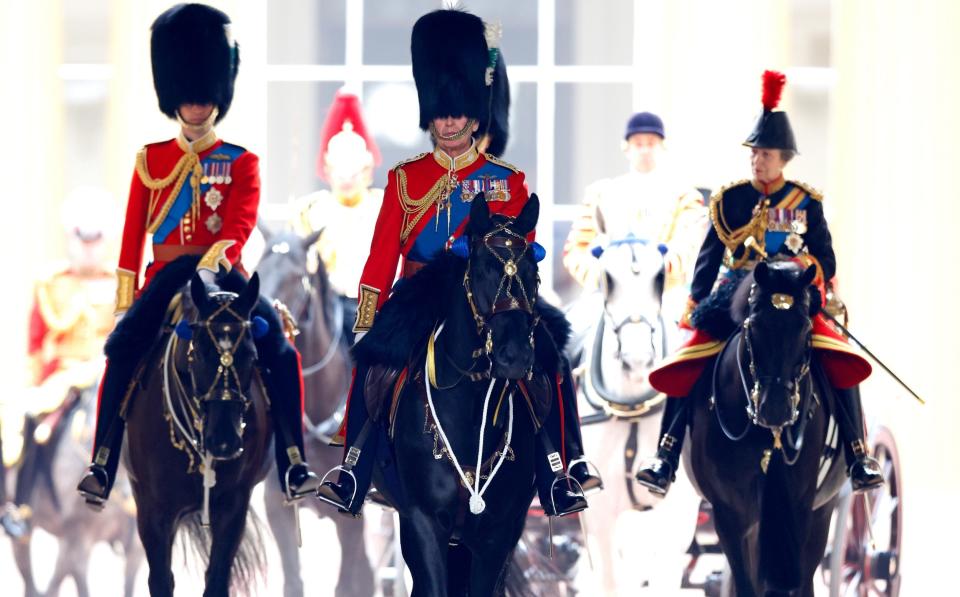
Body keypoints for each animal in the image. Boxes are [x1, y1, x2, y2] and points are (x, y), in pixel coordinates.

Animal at [122, 272, 270, 596]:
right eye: (199, 353)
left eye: (252, 356)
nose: (225, 442)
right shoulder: (153, 510)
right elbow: (161, 580)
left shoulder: (233, 505)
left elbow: (216, 579)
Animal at [256, 228, 374, 596]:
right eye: (258, 270)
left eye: (296, 277)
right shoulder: (277, 504)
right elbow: (293, 581)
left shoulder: (351, 517)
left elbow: (347, 585)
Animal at [354, 193, 568, 592]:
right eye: (482, 270)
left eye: (534, 275)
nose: (514, 356)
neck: (469, 411)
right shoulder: (422, 520)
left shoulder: (499, 530)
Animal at [568, 236, 700, 592]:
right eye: (608, 279)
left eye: (659, 277)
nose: (637, 359)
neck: (633, 410)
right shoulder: (599, 517)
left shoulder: (676, 517)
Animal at [688, 262, 848, 596]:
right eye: (754, 327)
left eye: (805, 328)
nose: (776, 410)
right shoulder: (729, 514)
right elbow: (747, 583)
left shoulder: (799, 508)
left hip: (821, 512)